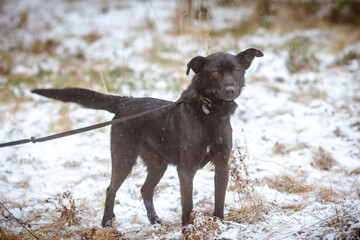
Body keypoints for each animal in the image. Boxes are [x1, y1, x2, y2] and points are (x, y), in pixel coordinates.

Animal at [31, 48, 262, 227]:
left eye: (236, 71)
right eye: (215, 72)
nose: (230, 90)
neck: (209, 113)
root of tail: (124, 101)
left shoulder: (222, 164)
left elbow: (219, 200)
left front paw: (219, 224)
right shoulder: (186, 169)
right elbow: (187, 205)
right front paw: (188, 229)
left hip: (158, 164)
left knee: (145, 190)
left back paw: (154, 220)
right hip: (124, 158)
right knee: (111, 189)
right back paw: (107, 222)